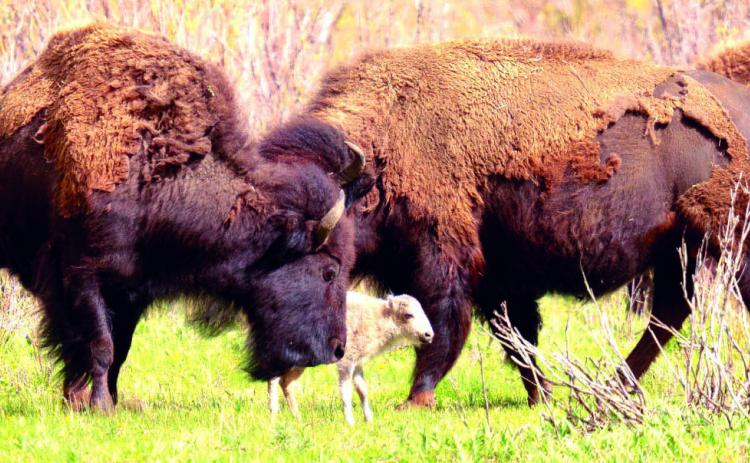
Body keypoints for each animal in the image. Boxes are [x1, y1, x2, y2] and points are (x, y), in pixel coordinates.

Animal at [0, 23, 374, 412]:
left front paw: (105, 401)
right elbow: (100, 344)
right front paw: (99, 405)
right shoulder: (84, 275)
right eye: (328, 271)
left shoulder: (133, 290)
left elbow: (119, 348)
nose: (336, 348)